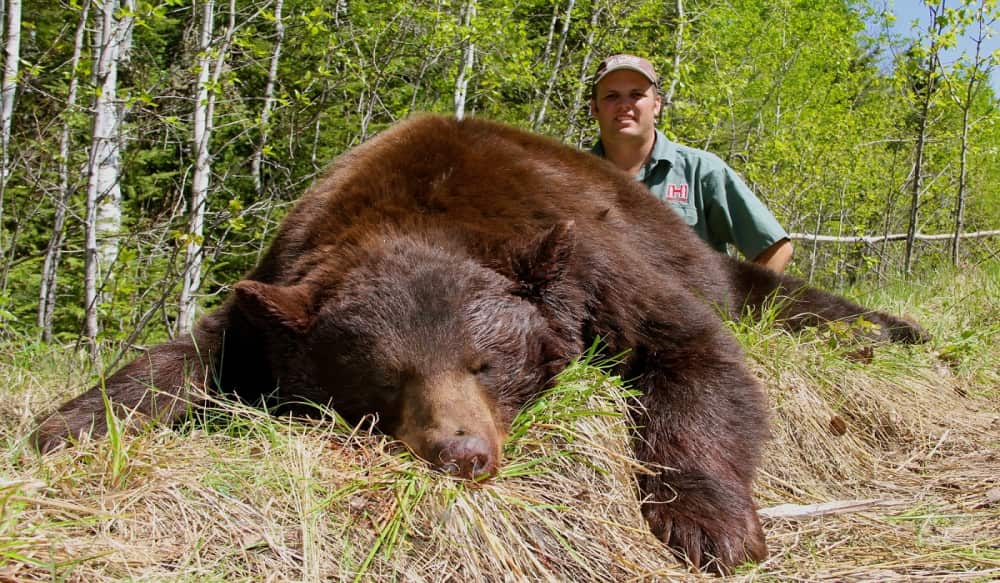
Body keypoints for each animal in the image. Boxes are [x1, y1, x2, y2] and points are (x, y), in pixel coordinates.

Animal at [33, 115, 927, 574]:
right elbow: (197, 351)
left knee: (778, 297)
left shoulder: (596, 265)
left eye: (485, 362)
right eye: (383, 378)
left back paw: (892, 329)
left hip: (710, 264)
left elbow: (691, 354)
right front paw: (69, 423)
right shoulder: (281, 283)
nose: (461, 453)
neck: (420, 210)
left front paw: (709, 525)